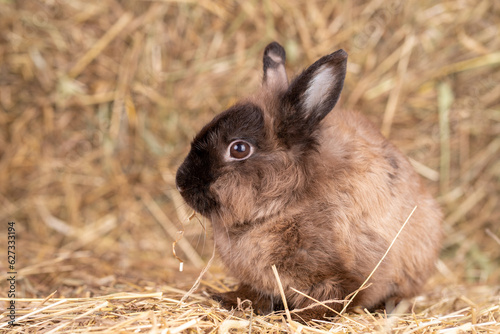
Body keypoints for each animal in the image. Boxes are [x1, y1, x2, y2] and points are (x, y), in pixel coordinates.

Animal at [176, 41, 442, 320]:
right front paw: (227, 298)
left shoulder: (339, 278)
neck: (282, 204)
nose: (181, 183)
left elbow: (329, 300)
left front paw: (298, 317)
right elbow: (253, 292)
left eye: (239, 149)